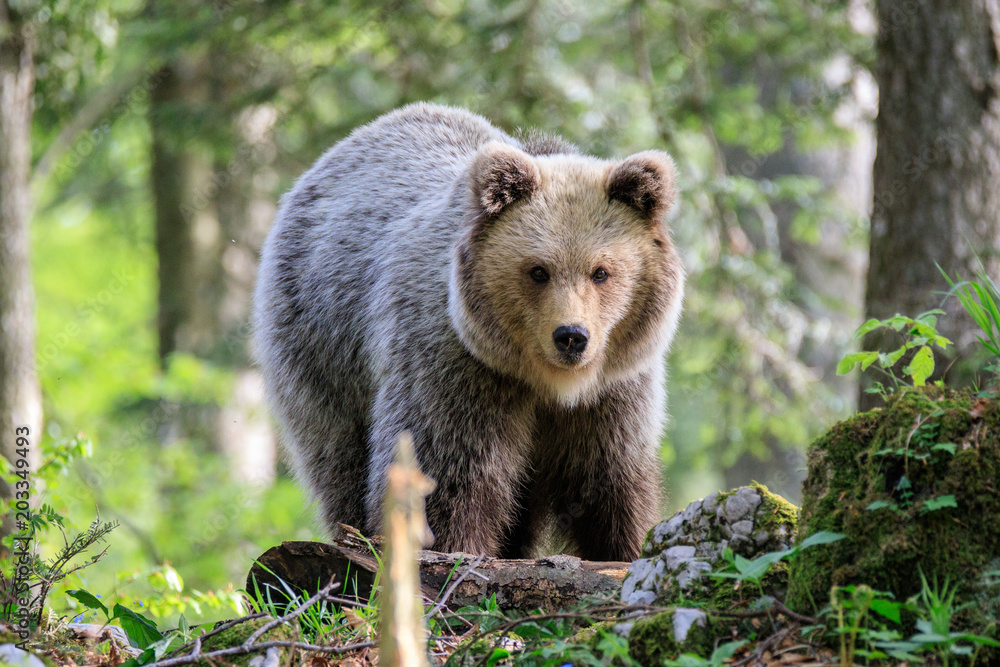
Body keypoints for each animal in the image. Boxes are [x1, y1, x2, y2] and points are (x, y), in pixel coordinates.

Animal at [252, 103, 684, 561]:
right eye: (538, 270)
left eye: (601, 271)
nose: (571, 336)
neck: (548, 383)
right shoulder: (457, 365)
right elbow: (448, 471)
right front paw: (452, 550)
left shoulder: (613, 389)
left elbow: (607, 477)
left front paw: (625, 547)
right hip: (320, 343)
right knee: (338, 453)